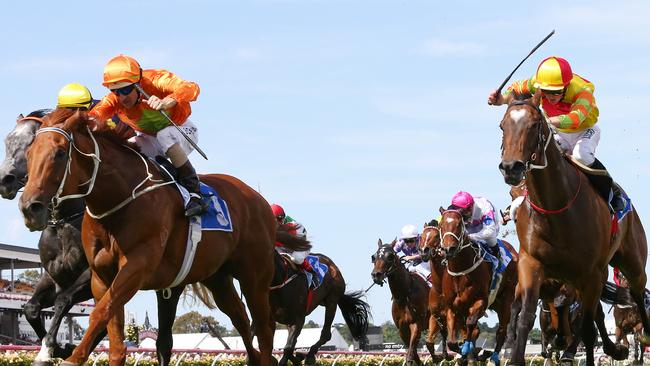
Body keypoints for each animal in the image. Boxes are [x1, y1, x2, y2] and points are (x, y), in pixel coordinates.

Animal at [436, 209, 516, 366]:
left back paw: (493, 357)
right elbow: (452, 342)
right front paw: (464, 353)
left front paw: (469, 349)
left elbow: (471, 323)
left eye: (459, 225)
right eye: (441, 225)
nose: (448, 249)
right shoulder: (452, 307)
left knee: (501, 331)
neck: (460, 272)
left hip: (505, 300)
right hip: (493, 303)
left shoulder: (481, 301)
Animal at [496, 93, 648, 364]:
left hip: (632, 262)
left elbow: (586, 330)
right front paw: (515, 354)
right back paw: (614, 348)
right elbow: (525, 316)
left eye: (534, 125)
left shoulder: (590, 274)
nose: (511, 167)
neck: (556, 208)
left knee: (638, 293)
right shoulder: (531, 263)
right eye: (503, 126)